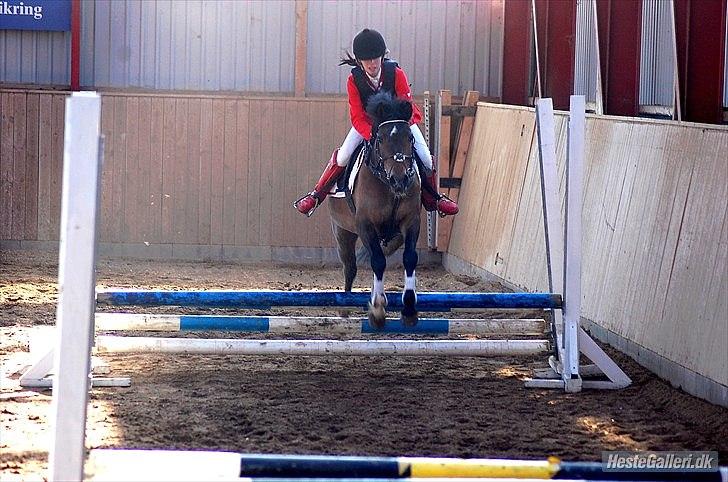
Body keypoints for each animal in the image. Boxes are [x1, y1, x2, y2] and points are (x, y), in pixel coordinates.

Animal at [328, 91, 421, 329]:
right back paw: (345, 310)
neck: (388, 186)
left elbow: (409, 258)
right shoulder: (365, 224)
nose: (400, 179)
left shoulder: (411, 221)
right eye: (380, 139)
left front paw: (409, 308)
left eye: (410, 138)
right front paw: (378, 309)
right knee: (350, 267)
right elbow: (377, 261)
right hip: (343, 231)